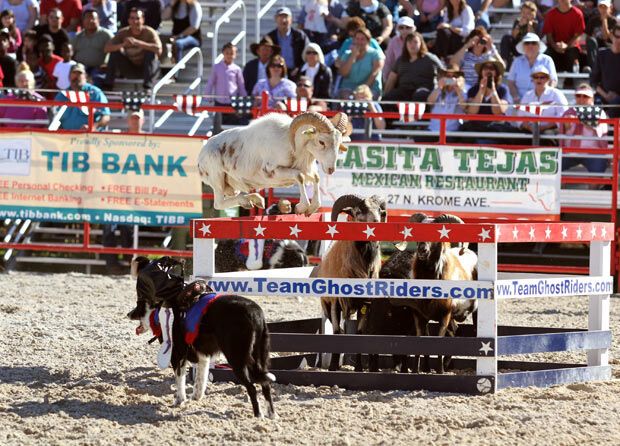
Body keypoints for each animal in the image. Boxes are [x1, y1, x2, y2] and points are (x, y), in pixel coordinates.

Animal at [200, 111, 352, 216]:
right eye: (321, 142)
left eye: (339, 143)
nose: (331, 169)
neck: (290, 144)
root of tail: (201, 154)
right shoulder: (272, 172)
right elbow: (300, 176)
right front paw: (301, 207)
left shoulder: (305, 170)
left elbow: (315, 178)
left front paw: (311, 208)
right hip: (217, 180)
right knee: (219, 203)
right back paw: (249, 201)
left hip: (231, 186)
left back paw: (255, 200)